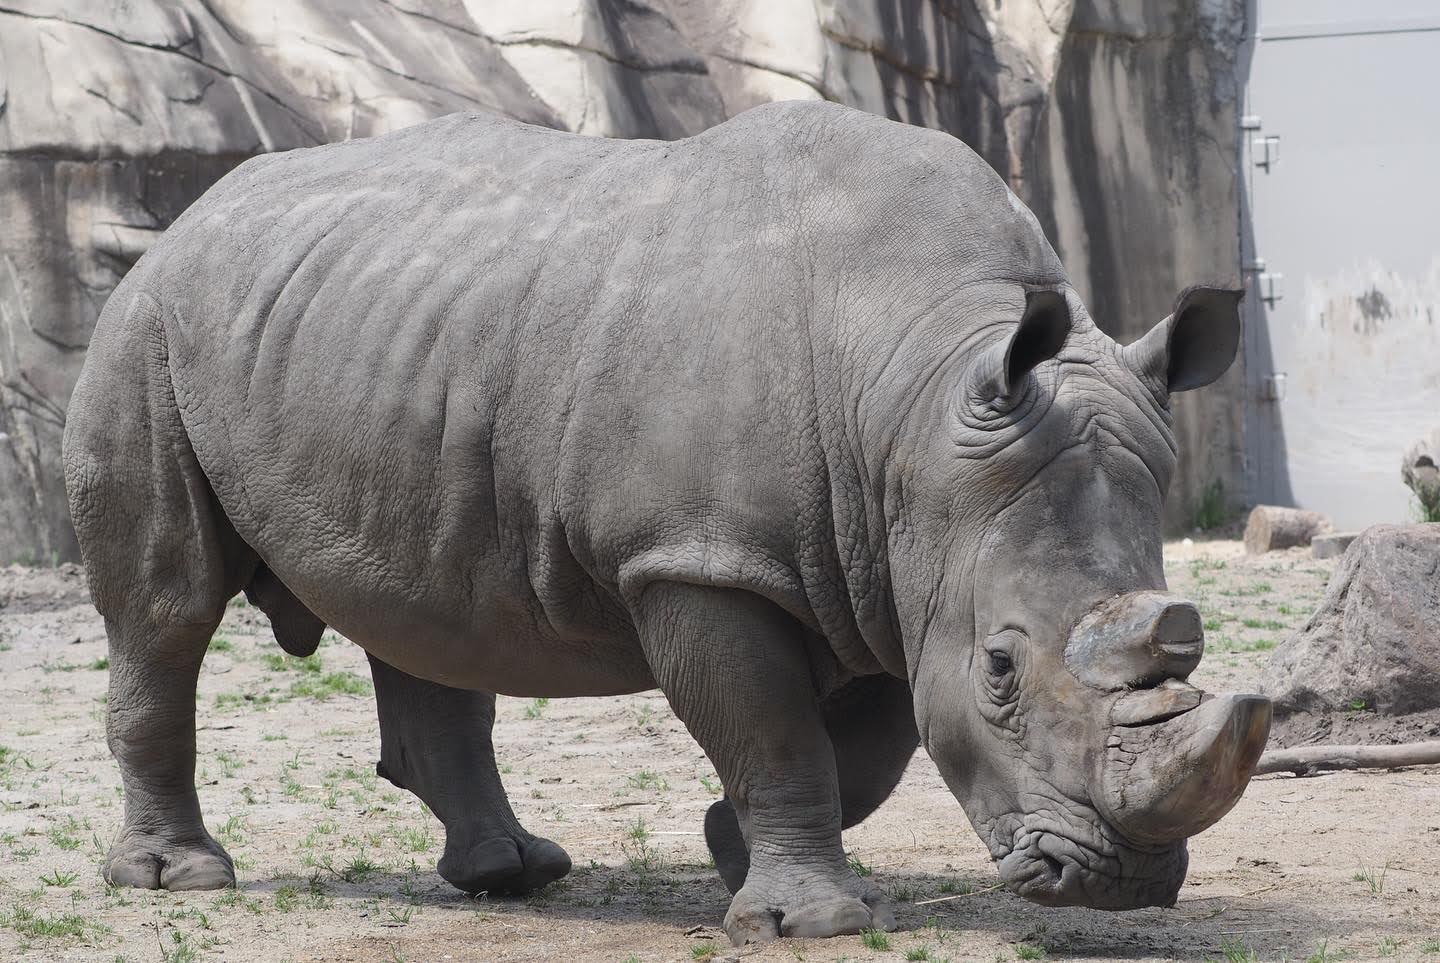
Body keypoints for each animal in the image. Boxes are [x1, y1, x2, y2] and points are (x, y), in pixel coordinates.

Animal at [63, 101, 1270, 944]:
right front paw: (809, 923)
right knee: (166, 607)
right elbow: (777, 729)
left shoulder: (890, 567)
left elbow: (870, 748)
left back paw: (511, 874)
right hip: (147, 328)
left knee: (421, 604)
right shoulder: (699, 558)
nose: (1123, 883)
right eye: (1004, 670)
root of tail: (187, 219)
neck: (915, 399)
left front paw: (734, 854)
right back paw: (181, 881)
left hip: (378, 338)